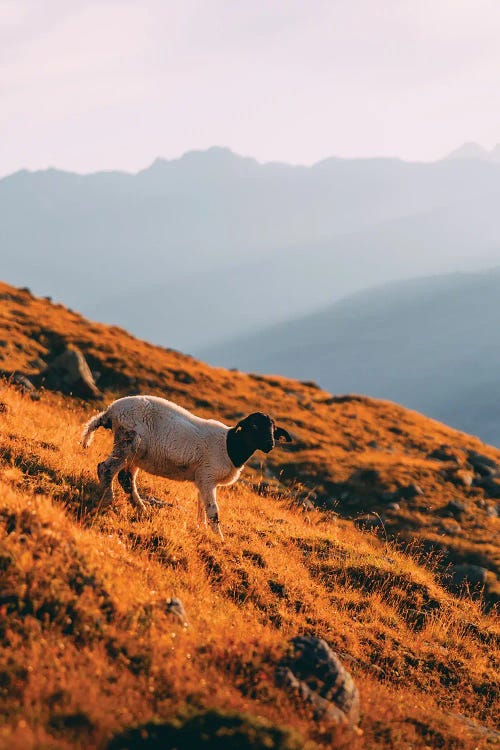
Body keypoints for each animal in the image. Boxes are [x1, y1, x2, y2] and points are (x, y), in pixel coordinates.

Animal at [81, 394, 292, 540]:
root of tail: (110, 411)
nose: (270, 445)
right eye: (254, 426)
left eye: (273, 429)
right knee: (106, 468)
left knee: (125, 479)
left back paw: (141, 508)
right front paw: (219, 538)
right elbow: (213, 510)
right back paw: (108, 498)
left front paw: (202, 529)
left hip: (136, 453)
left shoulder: (202, 479)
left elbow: (201, 507)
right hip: (128, 442)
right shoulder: (207, 476)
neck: (229, 446)